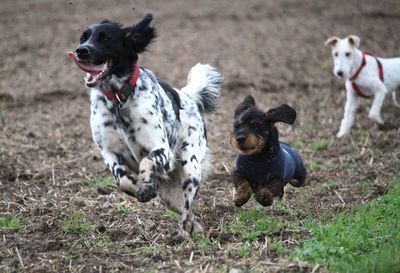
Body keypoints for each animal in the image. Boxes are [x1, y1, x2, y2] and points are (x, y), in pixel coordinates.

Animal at [69, 13, 225, 239]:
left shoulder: (161, 148)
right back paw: (194, 226)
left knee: (187, 207)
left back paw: (182, 235)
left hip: (191, 169)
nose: (81, 50)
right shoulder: (109, 152)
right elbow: (121, 180)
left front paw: (144, 186)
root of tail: (188, 96)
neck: (118, 99)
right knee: (184, 208)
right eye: (83, 38)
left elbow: (146, 160)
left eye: (105, 38)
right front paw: (139, 187)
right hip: (167, 194)